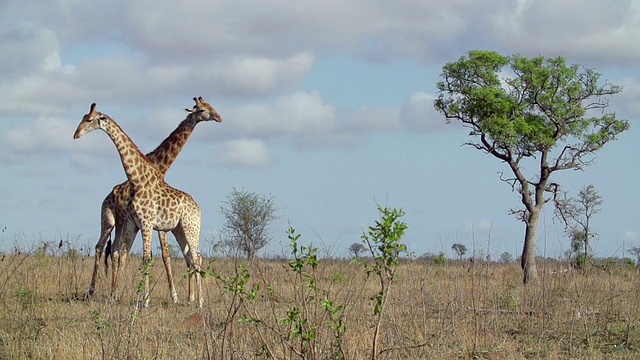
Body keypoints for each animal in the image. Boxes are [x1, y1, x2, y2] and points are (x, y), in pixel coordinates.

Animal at [86, 97, 222, 302]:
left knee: (115, 251)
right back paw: (92, 290)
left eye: (210, 105)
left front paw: (176, 296)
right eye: (202, 109)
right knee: (100, 247)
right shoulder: (151, 223)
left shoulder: (157, 224)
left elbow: (164, 256)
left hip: (122, 224)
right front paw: (169, 296)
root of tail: (108, 195)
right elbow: (161, 255)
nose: (219, 117)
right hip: (108, 219)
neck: (158, 166)